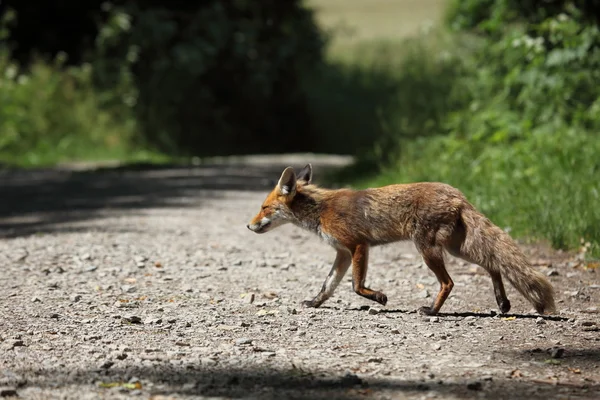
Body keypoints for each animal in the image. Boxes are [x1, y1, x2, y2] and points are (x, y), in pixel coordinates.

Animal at [246, 164, 556, 314]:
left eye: (264, 207)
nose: (248, 226)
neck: (321, 210)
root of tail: (458, 194)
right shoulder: (342, 253)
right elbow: (328, 285)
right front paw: (314, 303)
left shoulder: (358, 245)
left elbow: (356, 286)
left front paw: (379, 297)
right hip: (457, 248)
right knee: (493, 264)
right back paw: (502, 302)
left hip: (428, 248)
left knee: (449, 282)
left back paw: (432, 311)